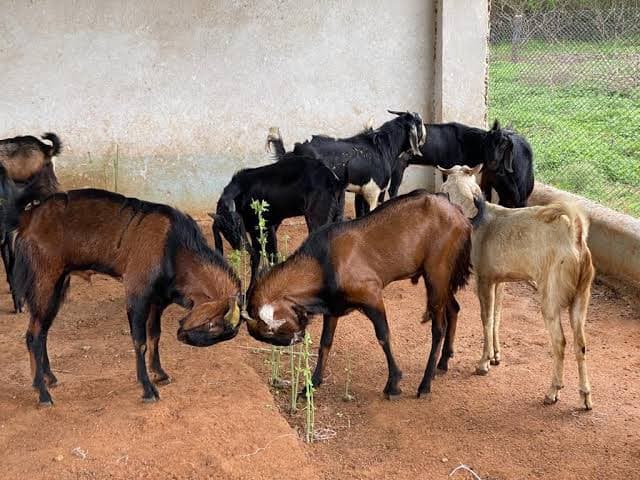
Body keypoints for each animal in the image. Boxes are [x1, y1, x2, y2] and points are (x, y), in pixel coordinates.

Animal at [0, 171, 241, 406]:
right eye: (212, 325)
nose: (182, 336)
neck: (174, 246)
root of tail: (27, 218)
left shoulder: (157, 300)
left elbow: (155, 335)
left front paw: (160, 373)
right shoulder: (137, 291)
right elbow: (140, 341)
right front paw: (148, 389)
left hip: (59, 285)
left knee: (42, 332)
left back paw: (49, 378)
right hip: (45, 281)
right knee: (33, 335)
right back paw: (42, 394)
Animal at [210, 154, 342, 281]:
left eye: (238, 224)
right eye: (224, 231)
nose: (240, 246)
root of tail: (332, 179)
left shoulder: (263, 228)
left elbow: (268, 257)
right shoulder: (268, 227)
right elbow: (260, 257)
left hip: (317, 219)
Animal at [243, 190, 472, 399]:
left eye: (270, 332)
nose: (298, 338)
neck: (322, 264)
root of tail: (459, 214)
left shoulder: (372, 295)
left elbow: (383, 336)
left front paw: (393, 383)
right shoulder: (333, 307)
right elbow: (325, 343)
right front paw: (310, 386)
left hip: (436, 273)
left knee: (438, 328)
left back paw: (425, 385)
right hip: (441, 278)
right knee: (454, 308)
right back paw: (443, 363)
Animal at [293, 111, 426, 217]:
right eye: (419, 122)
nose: (424, 139)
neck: (382, 148)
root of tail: (299, 147)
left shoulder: (362, 191)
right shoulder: (373, 191)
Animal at [440, 164, 594, 410]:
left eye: (445, 186)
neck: (476, 217)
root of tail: (575, 237)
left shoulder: (483, 279)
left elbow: (486, 318)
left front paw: (483, 363)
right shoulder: (498, 280)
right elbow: (496, 315)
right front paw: (495, 356)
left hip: (551, 296)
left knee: (560, 342)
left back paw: (553, 391)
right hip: (582, 296)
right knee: (581, 344)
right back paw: (585, 396)